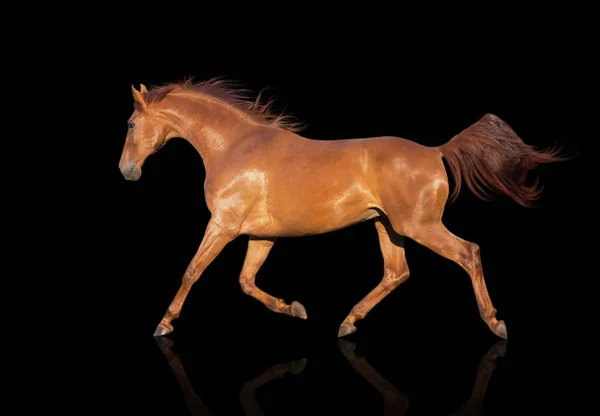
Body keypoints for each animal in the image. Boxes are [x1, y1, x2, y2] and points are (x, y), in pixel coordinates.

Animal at [119, 77, 564, 338]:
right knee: (396, 272)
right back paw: (348, 322)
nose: (126, 171)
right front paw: (294, 309)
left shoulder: (223, 225)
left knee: (469, 253)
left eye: (130, 124)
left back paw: (495, 322)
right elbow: (246, 281)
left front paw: (163, 324)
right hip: (388, 226)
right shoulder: (261, 234)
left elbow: (192, 270)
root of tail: (435, 151)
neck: (235, 146)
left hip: (419, 225)